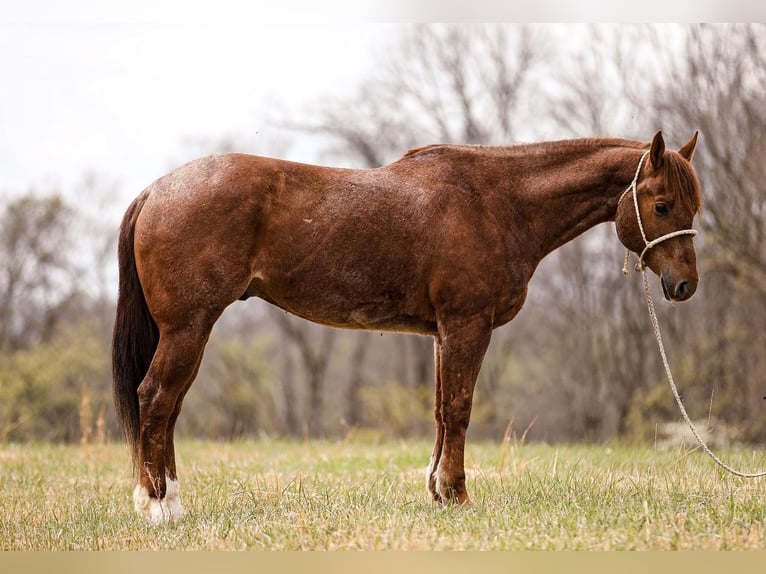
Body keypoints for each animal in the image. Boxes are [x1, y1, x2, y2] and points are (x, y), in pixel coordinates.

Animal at [111, 132, 704, 528]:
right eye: (661, 204)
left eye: (693, 205)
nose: (684, 286)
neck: (497, 201)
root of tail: (156, 190)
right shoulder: (467, 326)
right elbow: (460, 411)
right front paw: (459, 496)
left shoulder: (443, 334)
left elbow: (442, 412)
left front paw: (439, 494)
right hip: (188, 329)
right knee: (155, 399)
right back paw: (157, 507)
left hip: (189, 333)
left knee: (168, 407)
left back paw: (173, 503)